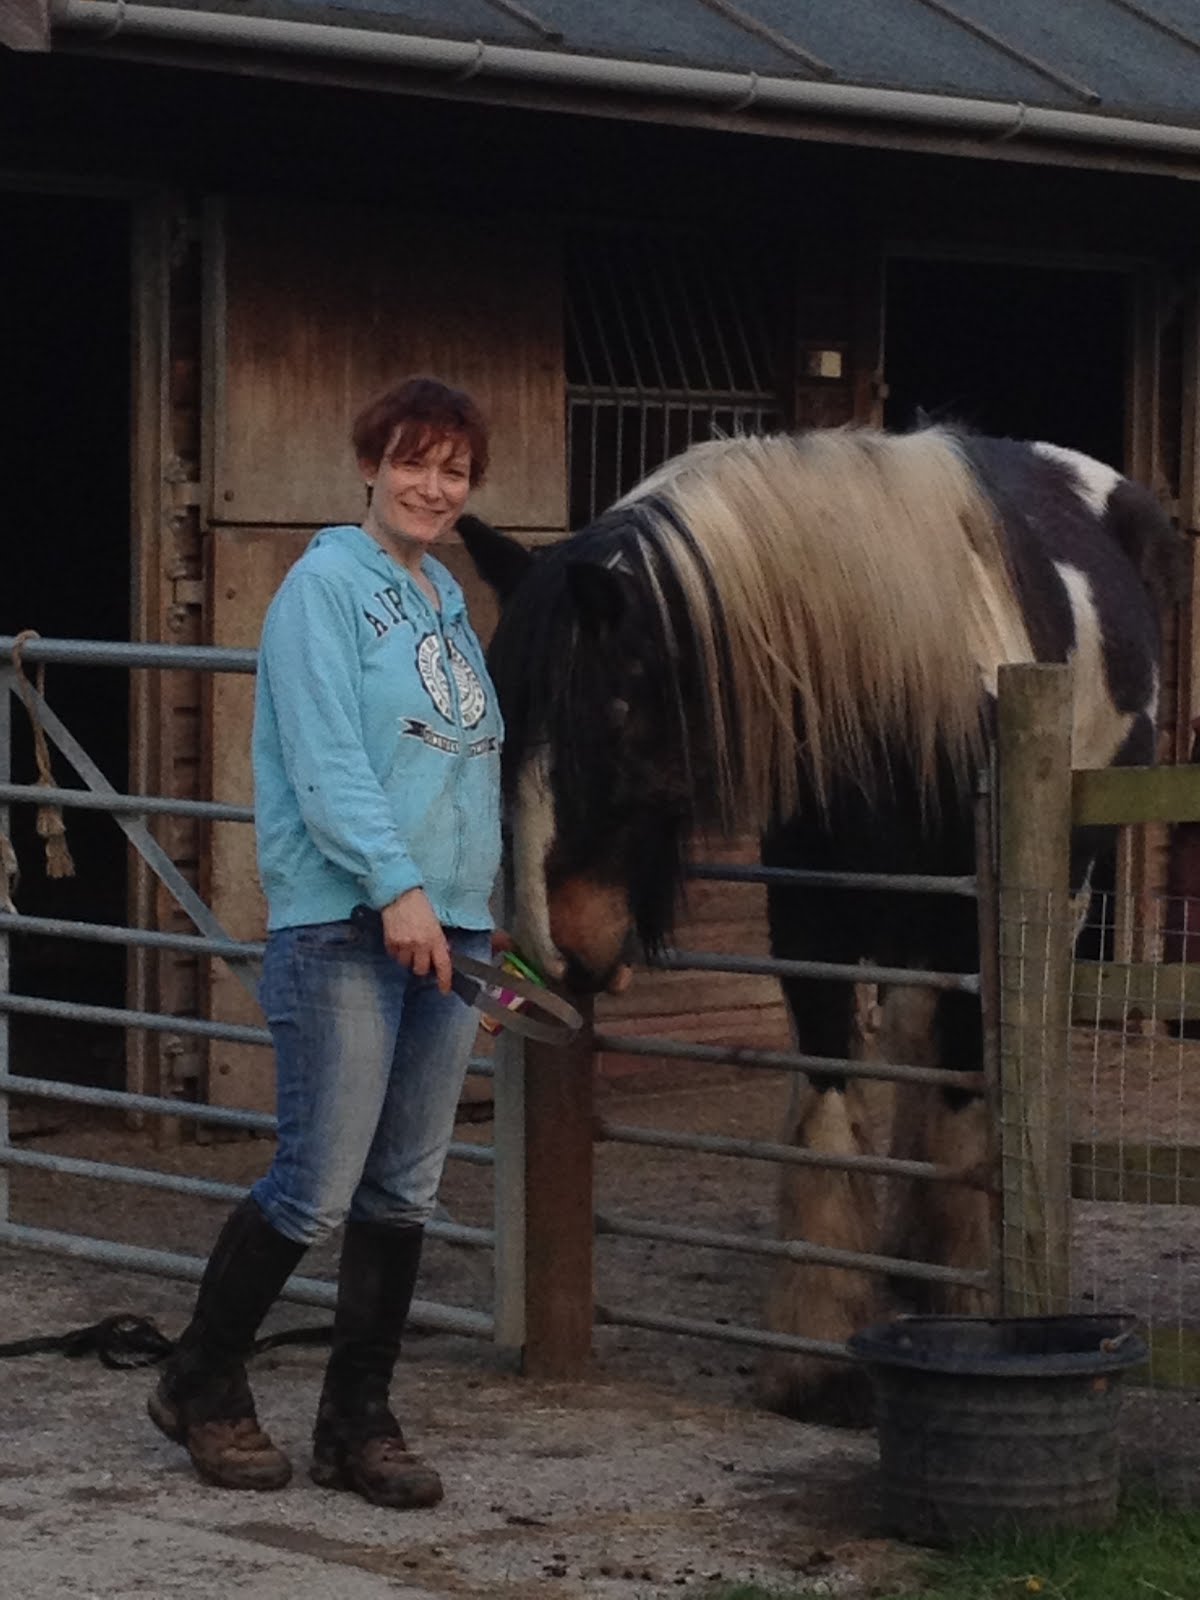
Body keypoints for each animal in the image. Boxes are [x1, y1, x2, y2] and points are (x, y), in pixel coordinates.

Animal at [458, 425, 1188, 1422]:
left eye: (611, 718)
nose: (556, 939)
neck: (901, 680)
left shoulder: (976, 914)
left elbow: (965, 1094)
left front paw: (973, 1307)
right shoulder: (812, 915)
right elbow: (831, 1097)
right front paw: (818, 1354)